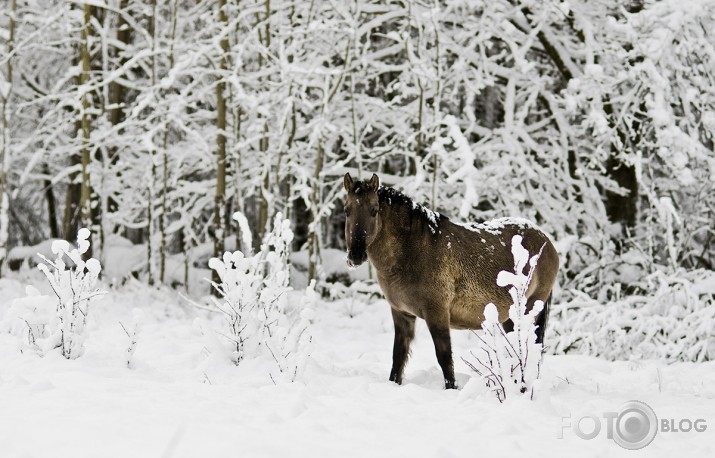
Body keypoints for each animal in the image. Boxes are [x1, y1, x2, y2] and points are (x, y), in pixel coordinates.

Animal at [342, 174, 560, 388]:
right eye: (346, 210)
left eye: (374, 211)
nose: (355, 256)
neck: (413, 250)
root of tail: (546, 241)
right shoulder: (401, 314)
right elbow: (398, 358)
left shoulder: (437, 313)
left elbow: (444, 357)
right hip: (509, 318)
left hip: (528, 310)